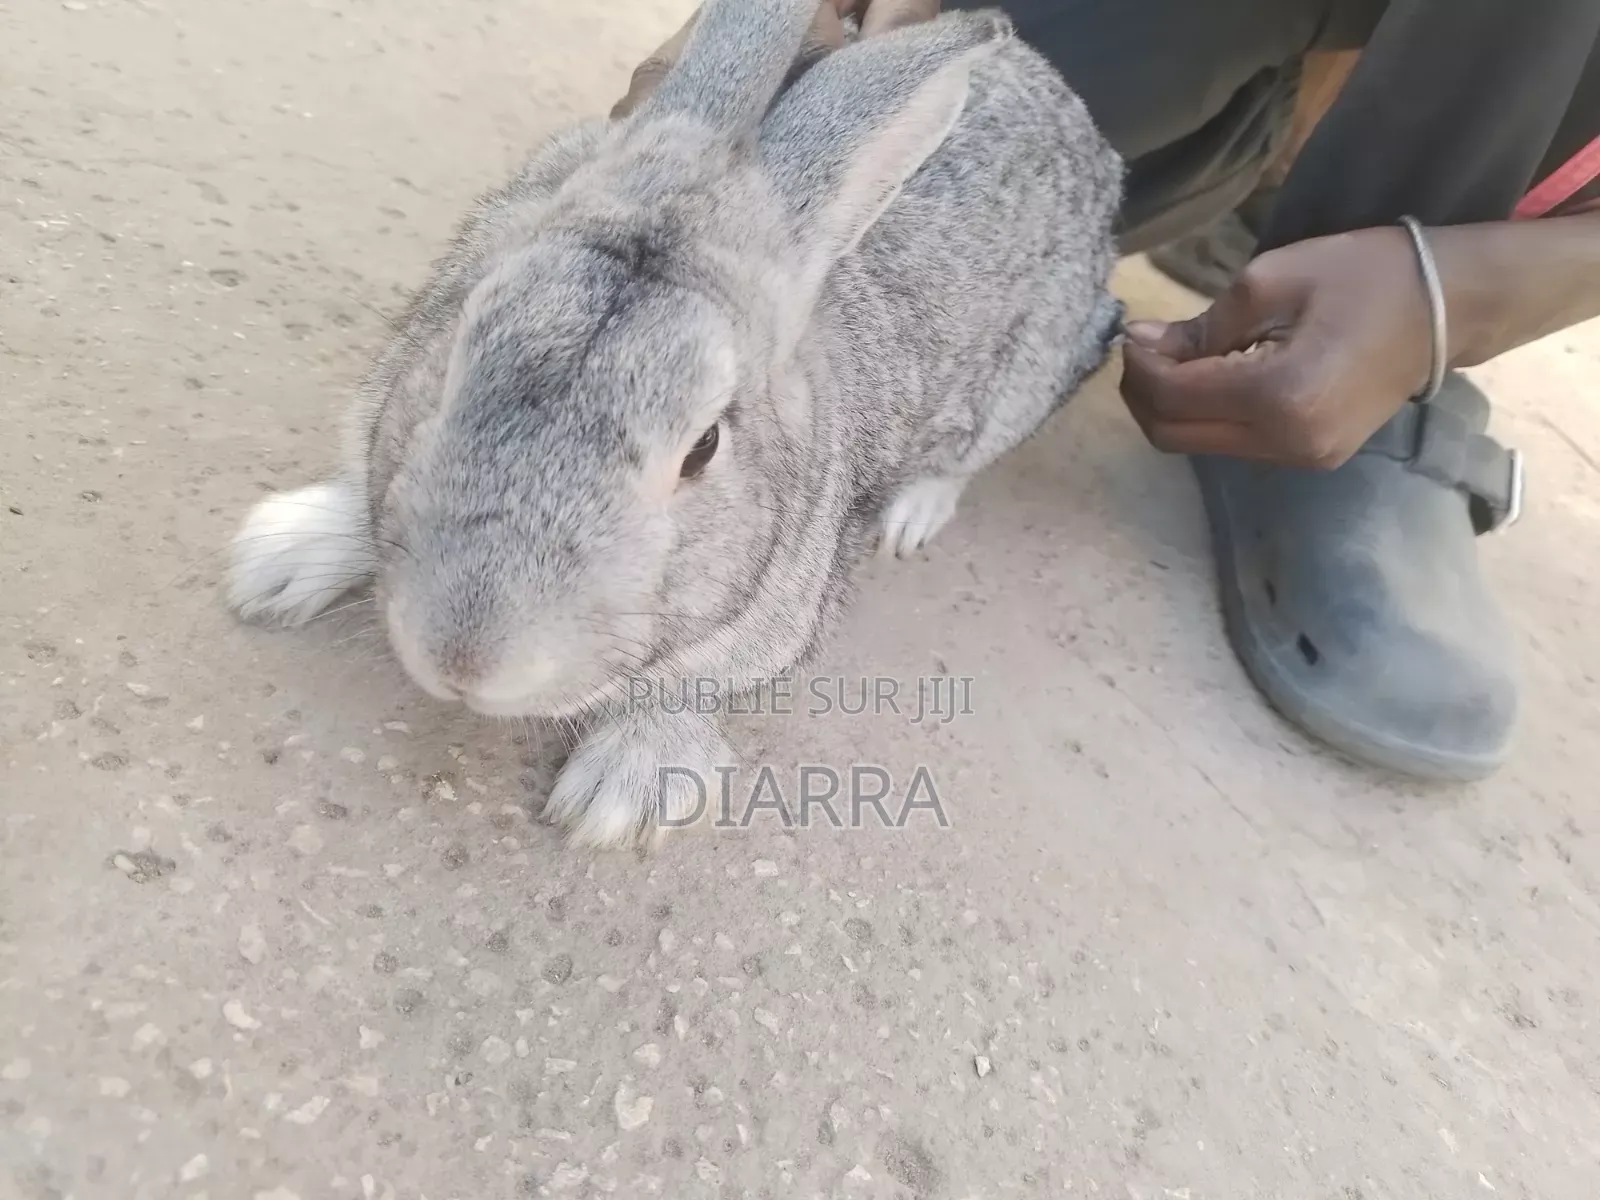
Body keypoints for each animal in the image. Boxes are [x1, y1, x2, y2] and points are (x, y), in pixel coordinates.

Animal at [226, 0, 1124, 849]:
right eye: (455, 348)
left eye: (703, 448)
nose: (466, 658)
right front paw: (276, 558)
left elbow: (701, 683)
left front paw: (624, 795)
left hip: (1032, 373)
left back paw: (915, 515)